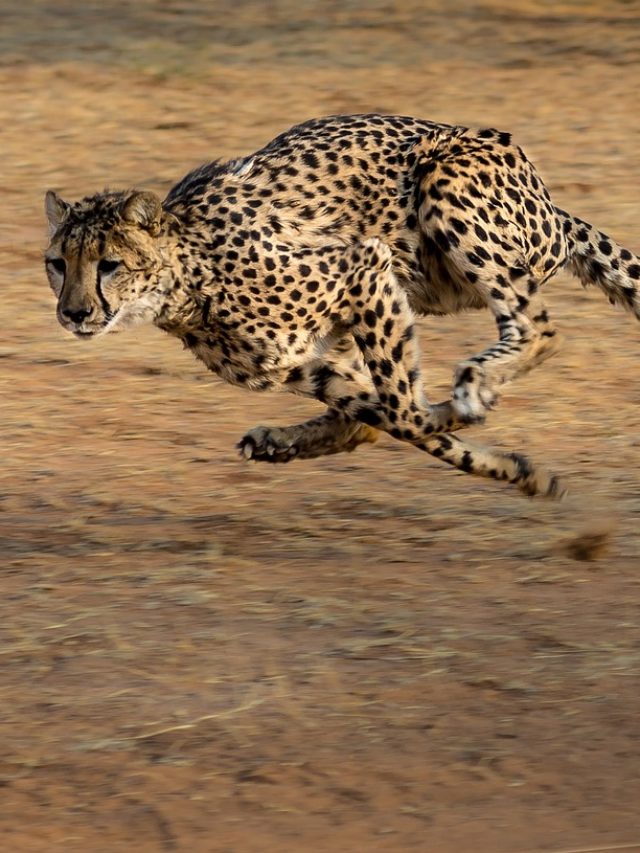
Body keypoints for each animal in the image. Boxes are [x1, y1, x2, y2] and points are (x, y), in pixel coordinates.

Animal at [44, 114, 640, 498]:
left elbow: (404, 413)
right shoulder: (304, 362)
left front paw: (464, 411)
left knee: (539, 328)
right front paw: (519, 471)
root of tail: (553, 207)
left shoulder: (364, 267)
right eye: (57, 264)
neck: (185, 278)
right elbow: (387, 420)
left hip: (444, 185)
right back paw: (279, 442)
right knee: (366, 422)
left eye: (108, 264)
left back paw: (475, 384)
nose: (73, 313)